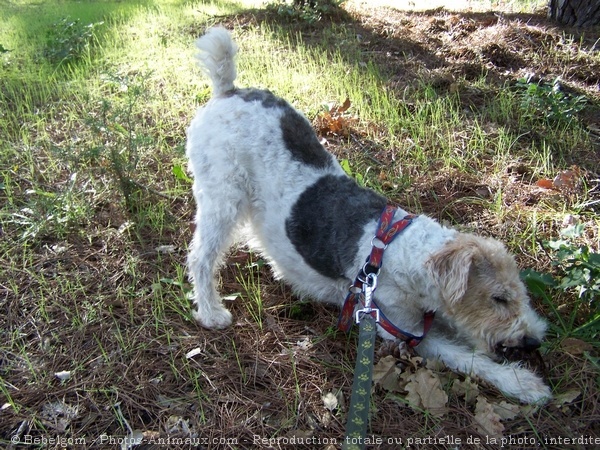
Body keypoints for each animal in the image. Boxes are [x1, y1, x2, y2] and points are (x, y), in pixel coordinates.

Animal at [185, 27, 552, 404]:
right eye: (498, 297)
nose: (533, 341)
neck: (403, 252)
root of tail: (228, 90)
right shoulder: (400, 327)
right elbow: (468, 358)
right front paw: (525, 384)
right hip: (222, 198)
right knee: (201, 257)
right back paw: (211, 312)